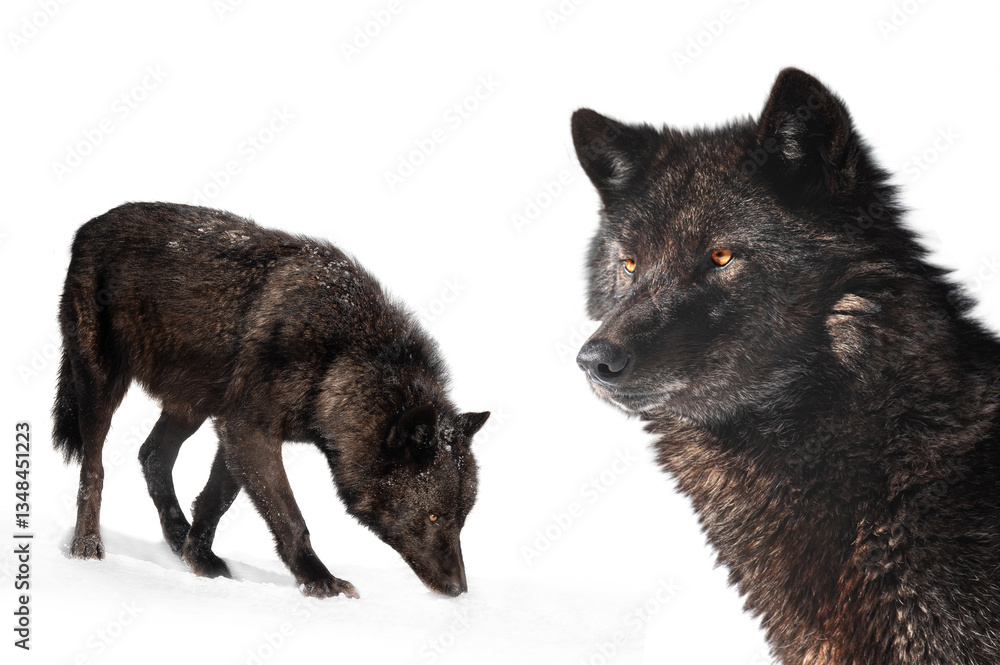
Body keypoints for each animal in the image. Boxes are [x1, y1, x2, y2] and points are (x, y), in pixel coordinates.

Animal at [52, 202, 489, 598]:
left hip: (192, 405)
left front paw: (201, 559)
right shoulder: (250, 432)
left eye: (461, 519)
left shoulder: (236, 432)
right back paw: (87, 546)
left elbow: (216, 501)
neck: (339, 356)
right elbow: (289, 517)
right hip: (101, 386)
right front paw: (321, 582)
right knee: (94, 468)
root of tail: (88, 226)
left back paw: (177, 537)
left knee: (152, 455)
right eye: (433, 516)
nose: (458, 590)